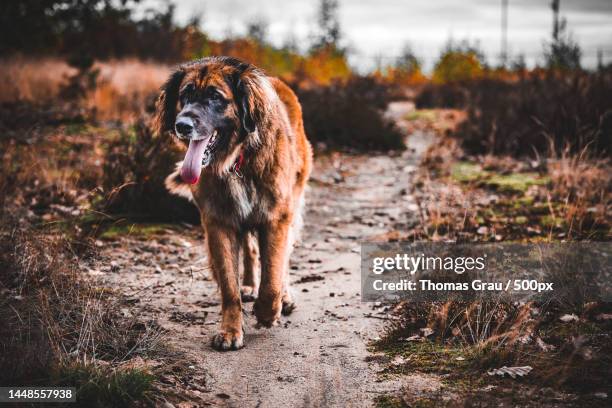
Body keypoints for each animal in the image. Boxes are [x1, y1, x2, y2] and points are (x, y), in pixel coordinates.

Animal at [155, 56, 314, 350]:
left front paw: (267, 312)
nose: (182, 125)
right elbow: (229, 286)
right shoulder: (219, 222)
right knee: (250, 252)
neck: (237, 160)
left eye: (215, 97)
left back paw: (283, 297)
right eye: (185, 95)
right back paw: (250, 286)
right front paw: (230, 330)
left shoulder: (276, 217)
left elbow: (273, 276)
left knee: (283, 260)